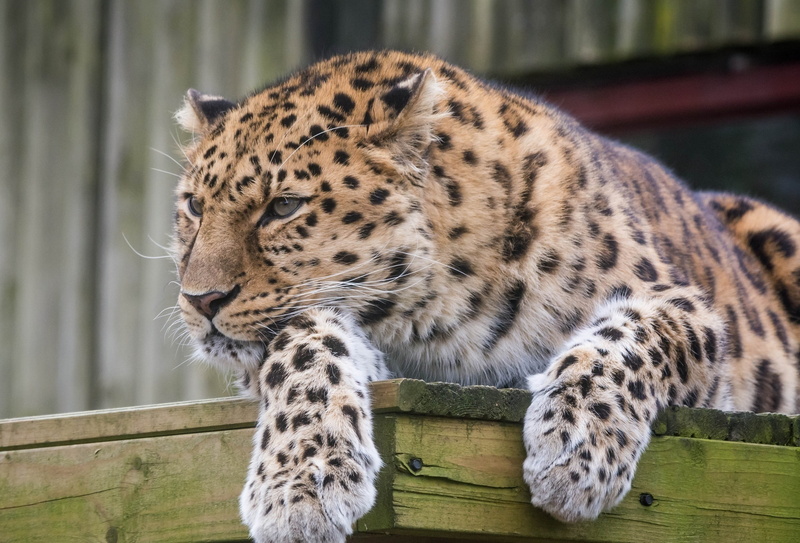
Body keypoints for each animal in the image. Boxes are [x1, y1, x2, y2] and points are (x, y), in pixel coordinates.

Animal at [173, 50, 800, 543]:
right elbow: (303, 342)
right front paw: (299, 482)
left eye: (284, 206)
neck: (439, 323)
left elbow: (627, 338)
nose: (200, 300)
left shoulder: (687, 307)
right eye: (195, 207)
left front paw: (577, 449)